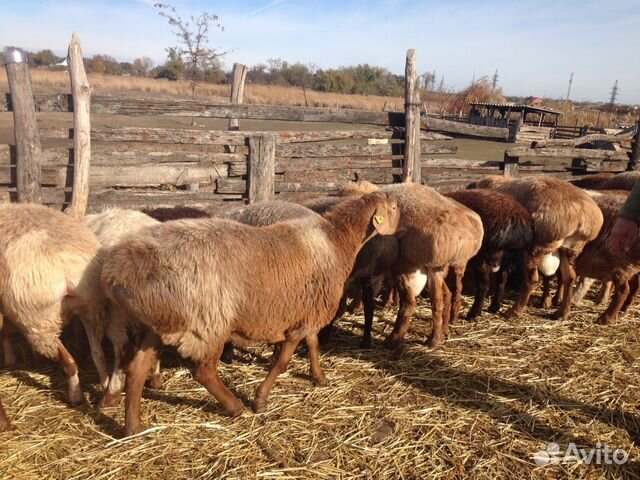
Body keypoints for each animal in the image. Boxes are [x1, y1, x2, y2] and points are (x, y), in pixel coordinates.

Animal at [102, 191, 398, 436]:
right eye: (394, 207)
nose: (401, 231)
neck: (336, 241)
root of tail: (121, 270)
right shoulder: (297, 322)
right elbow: (281, 362)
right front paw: (260, 400)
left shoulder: (306, 313)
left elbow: (313, 344)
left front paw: (318, 376)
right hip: (208, 322)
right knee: (203, 371)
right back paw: (235, 407)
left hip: (159, 323)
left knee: (137, 370)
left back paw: (133, 427)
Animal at [442, 188, 532, 318]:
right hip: (510, 257)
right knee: (501, 281)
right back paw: (494, 307)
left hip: (484, 256)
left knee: (484, 284)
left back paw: (474, 313)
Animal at [476, 176, 604, 318]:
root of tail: (582, 218)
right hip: (570, 249)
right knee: (569, 277)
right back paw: (562, 312)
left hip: (536, 248)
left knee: (532, 280)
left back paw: (515, 311)